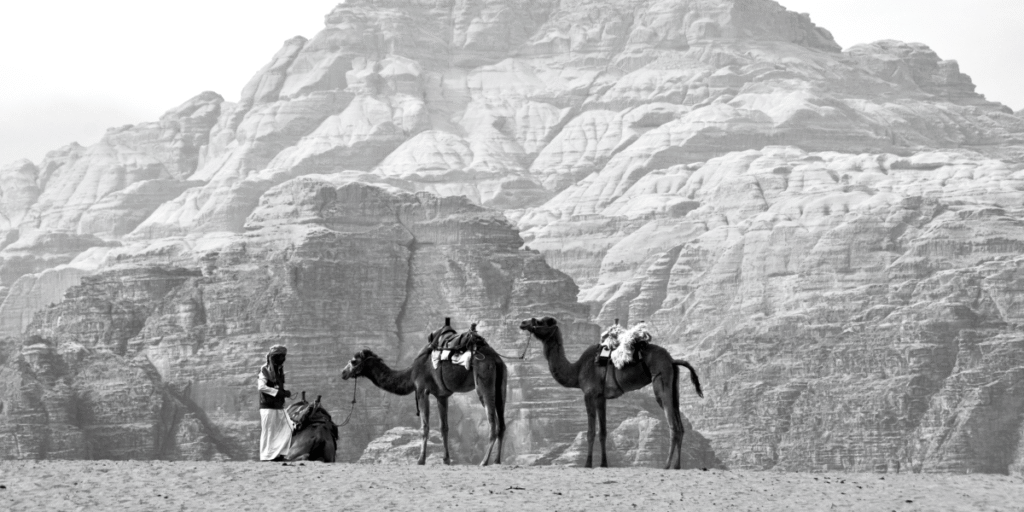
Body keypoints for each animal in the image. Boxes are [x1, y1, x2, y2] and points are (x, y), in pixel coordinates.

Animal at [340, 324, 507, 466]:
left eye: (353, 361)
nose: (343, 373)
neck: (411, 374)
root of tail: (496, 359)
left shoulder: (421, 390)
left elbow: (425, 426)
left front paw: (420, 460)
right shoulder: (441, 395)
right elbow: (444, 427)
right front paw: (446, 459)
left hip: (483, 379)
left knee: (492, 422)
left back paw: (484, 461)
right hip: (501, 384)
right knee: (502, 422)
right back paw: (497, 460)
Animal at [519, 316, 703, 470]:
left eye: (540, 321)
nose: (523, 323)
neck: (576, 371)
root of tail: (672, 360)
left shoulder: (589, 394)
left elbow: (590, 432)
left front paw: (587, 464)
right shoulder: (601, 397)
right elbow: (603, 432)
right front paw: (603, 463)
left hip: (661, 381)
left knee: (673, 426)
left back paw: (666, 465)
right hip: (674, 386)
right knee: (680, 425)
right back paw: (677, 465)